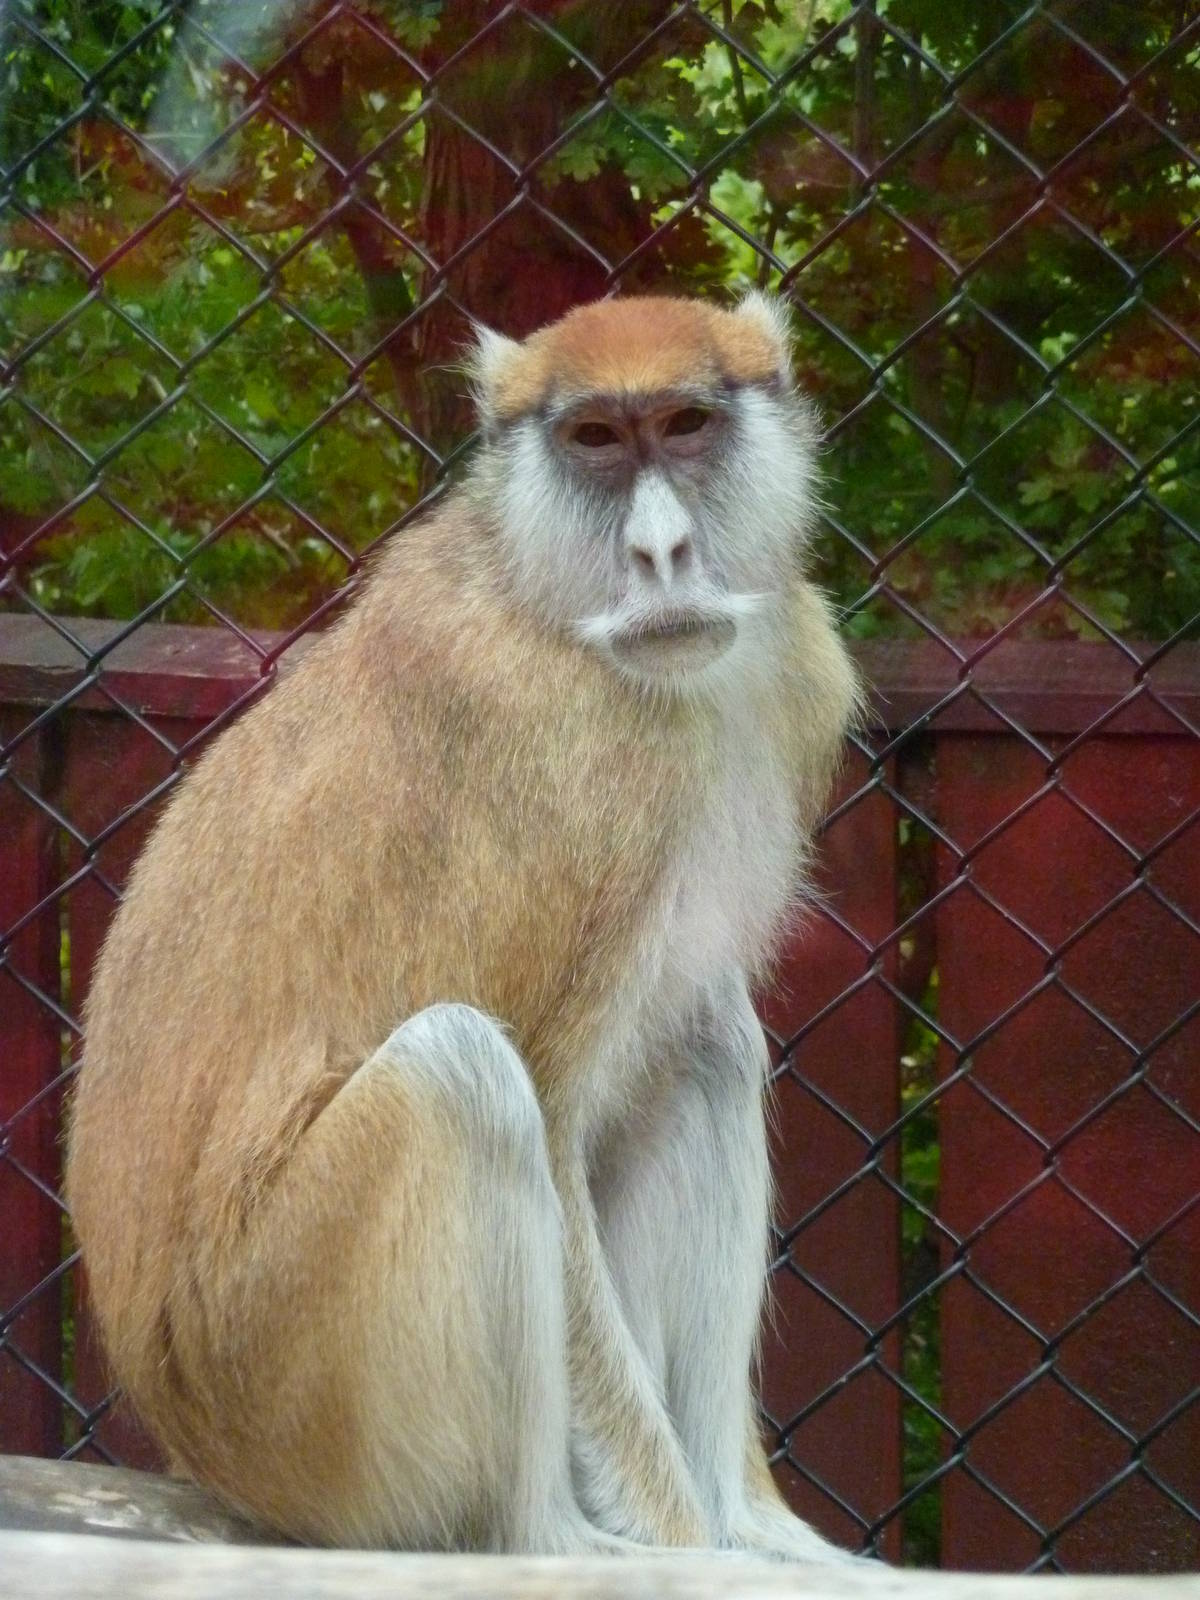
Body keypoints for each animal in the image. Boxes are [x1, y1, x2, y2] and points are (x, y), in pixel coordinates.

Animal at [66, 293, 863, 1562]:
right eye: (595, 440)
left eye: (685, 426)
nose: (661, 555)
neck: (544, 592)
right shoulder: (589, 777)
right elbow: (547, 1106)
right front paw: (686, 1542)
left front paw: (751, 1532)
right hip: (283, 1374)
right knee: (463, 1073)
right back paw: (554, 1540)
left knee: (705, 1044)